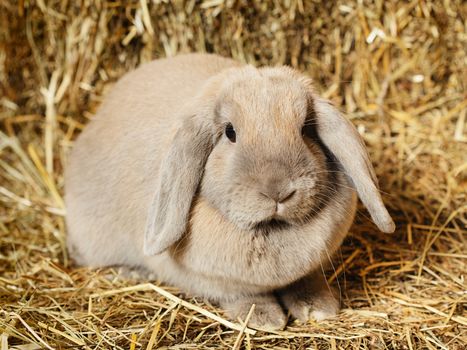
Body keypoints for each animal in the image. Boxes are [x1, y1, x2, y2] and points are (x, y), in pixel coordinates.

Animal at [66, 53, 394, 330]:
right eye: (230, 132)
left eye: (305, 129)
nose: (278, 192)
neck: (271, 230)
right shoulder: (217, 281)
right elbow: (242, 295)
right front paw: (264, 319)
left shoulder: (311, 267)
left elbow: (306, 281)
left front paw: (318, 308)